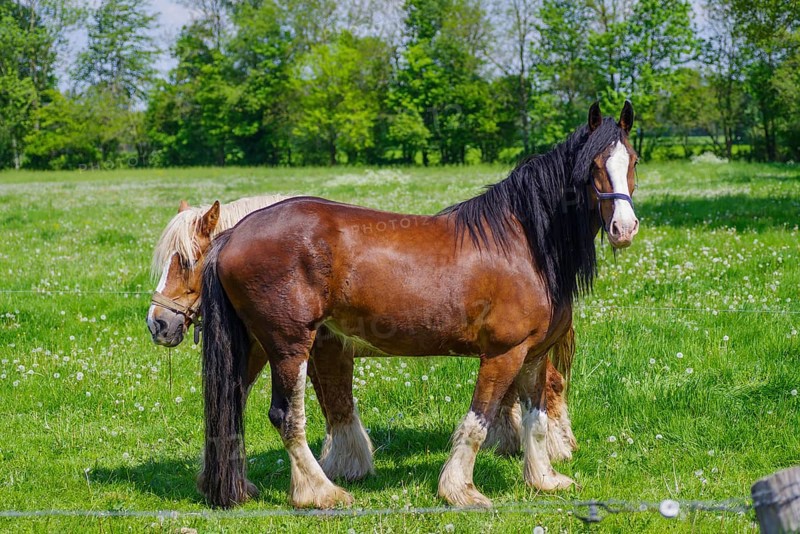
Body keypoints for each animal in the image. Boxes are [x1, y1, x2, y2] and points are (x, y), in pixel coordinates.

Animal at [146, 196, 578, 492]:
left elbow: (333, 406)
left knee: (549, 385)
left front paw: (339, 468)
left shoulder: (324, 351)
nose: (158, 323)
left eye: (186, 260)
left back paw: (556, 447)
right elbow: (324, 405)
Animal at [198, 101, 639, 509]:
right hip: (289, 346)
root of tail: (232, 235)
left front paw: (545, 480)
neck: (523, 243)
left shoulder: (532, 355)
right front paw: (461, 490)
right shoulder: (503, 354)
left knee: (230, 405)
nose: (624, 228)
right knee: (286, 416)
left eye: (632, 161)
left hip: (255, 346)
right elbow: (479, 421)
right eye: (594, 165)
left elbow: (537, 418)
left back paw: (234, 486)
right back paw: (321, 492)